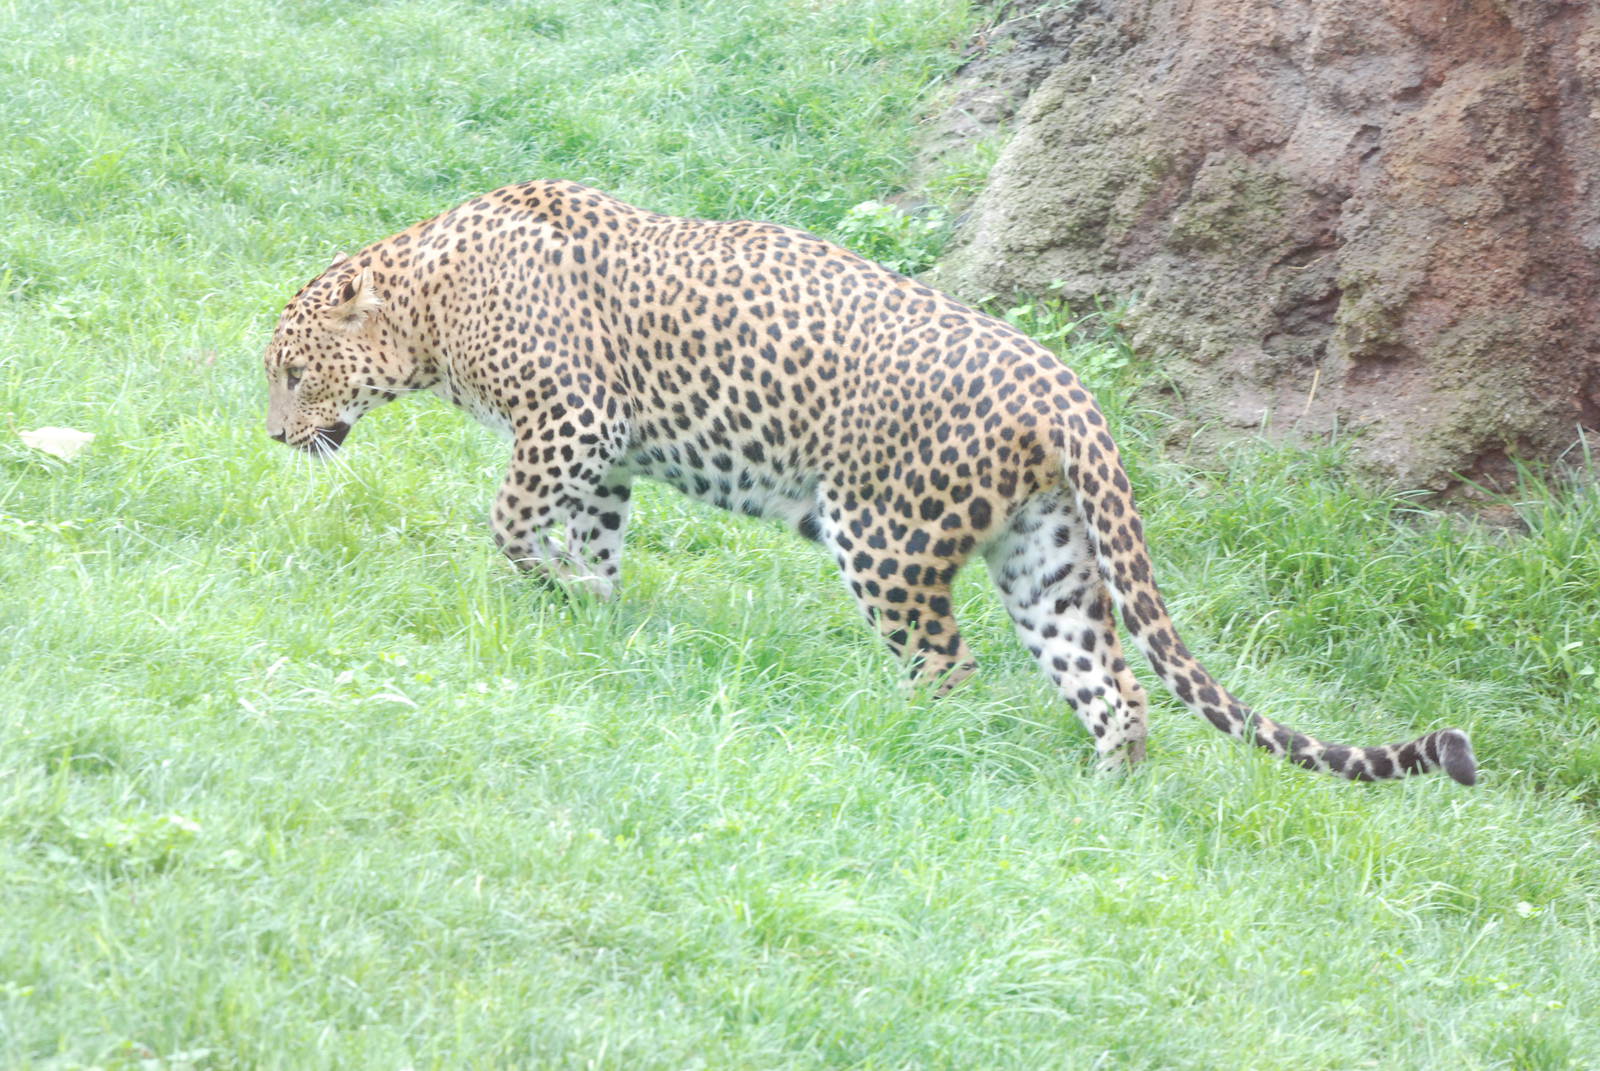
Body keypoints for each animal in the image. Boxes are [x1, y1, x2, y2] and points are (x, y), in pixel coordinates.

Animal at [263, 180, 1476, 785]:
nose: (275, 439)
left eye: (289, 371)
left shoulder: (570, 420)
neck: (427, 295)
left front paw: (546, 585)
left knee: (948, 663)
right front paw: (591, 609)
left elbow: (511, 518)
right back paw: (1103, 807)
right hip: (1049, 562)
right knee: (1114, 687)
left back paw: (886, 740)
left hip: (882, 537)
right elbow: (594, 540)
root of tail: (1070, 391)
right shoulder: (601, 455)